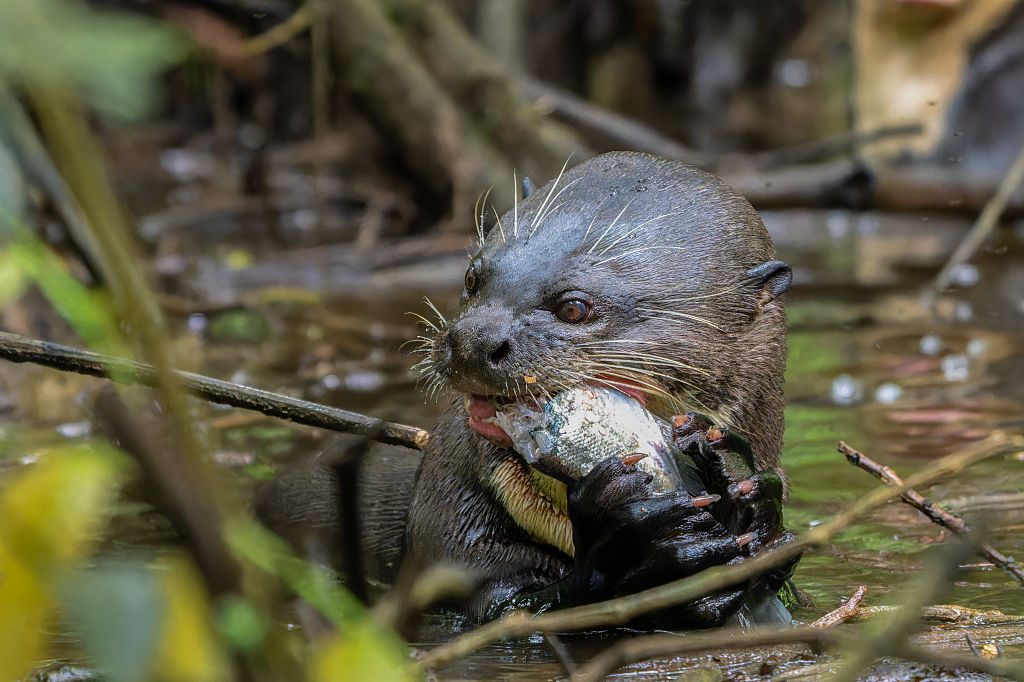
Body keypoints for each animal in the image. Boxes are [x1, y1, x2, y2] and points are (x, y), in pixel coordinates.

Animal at [257, 151, 796, 626]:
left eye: (574, 307)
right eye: (472, 277)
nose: (473, 340)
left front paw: (746, 487)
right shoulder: (448, 529)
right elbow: (513, 611)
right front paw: (631, 540)